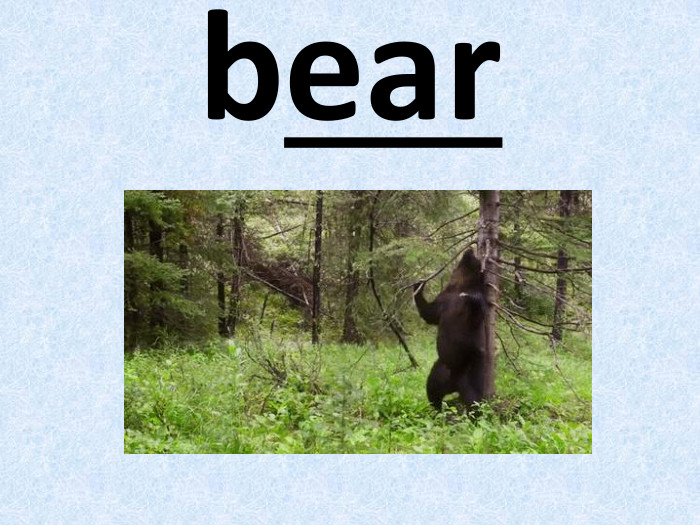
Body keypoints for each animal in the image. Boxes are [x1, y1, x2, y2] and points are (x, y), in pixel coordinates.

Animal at [413, 248, 487, 411]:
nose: (470, 249)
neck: (461, 286)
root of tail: (453, 385)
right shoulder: (444, 300)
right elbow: (430, 313)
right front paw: (418, 285)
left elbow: (476, 317)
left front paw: (473, 299)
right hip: (441, 369)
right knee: (432, 387)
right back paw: (437, 408)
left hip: (467, 373)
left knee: (473, 400)